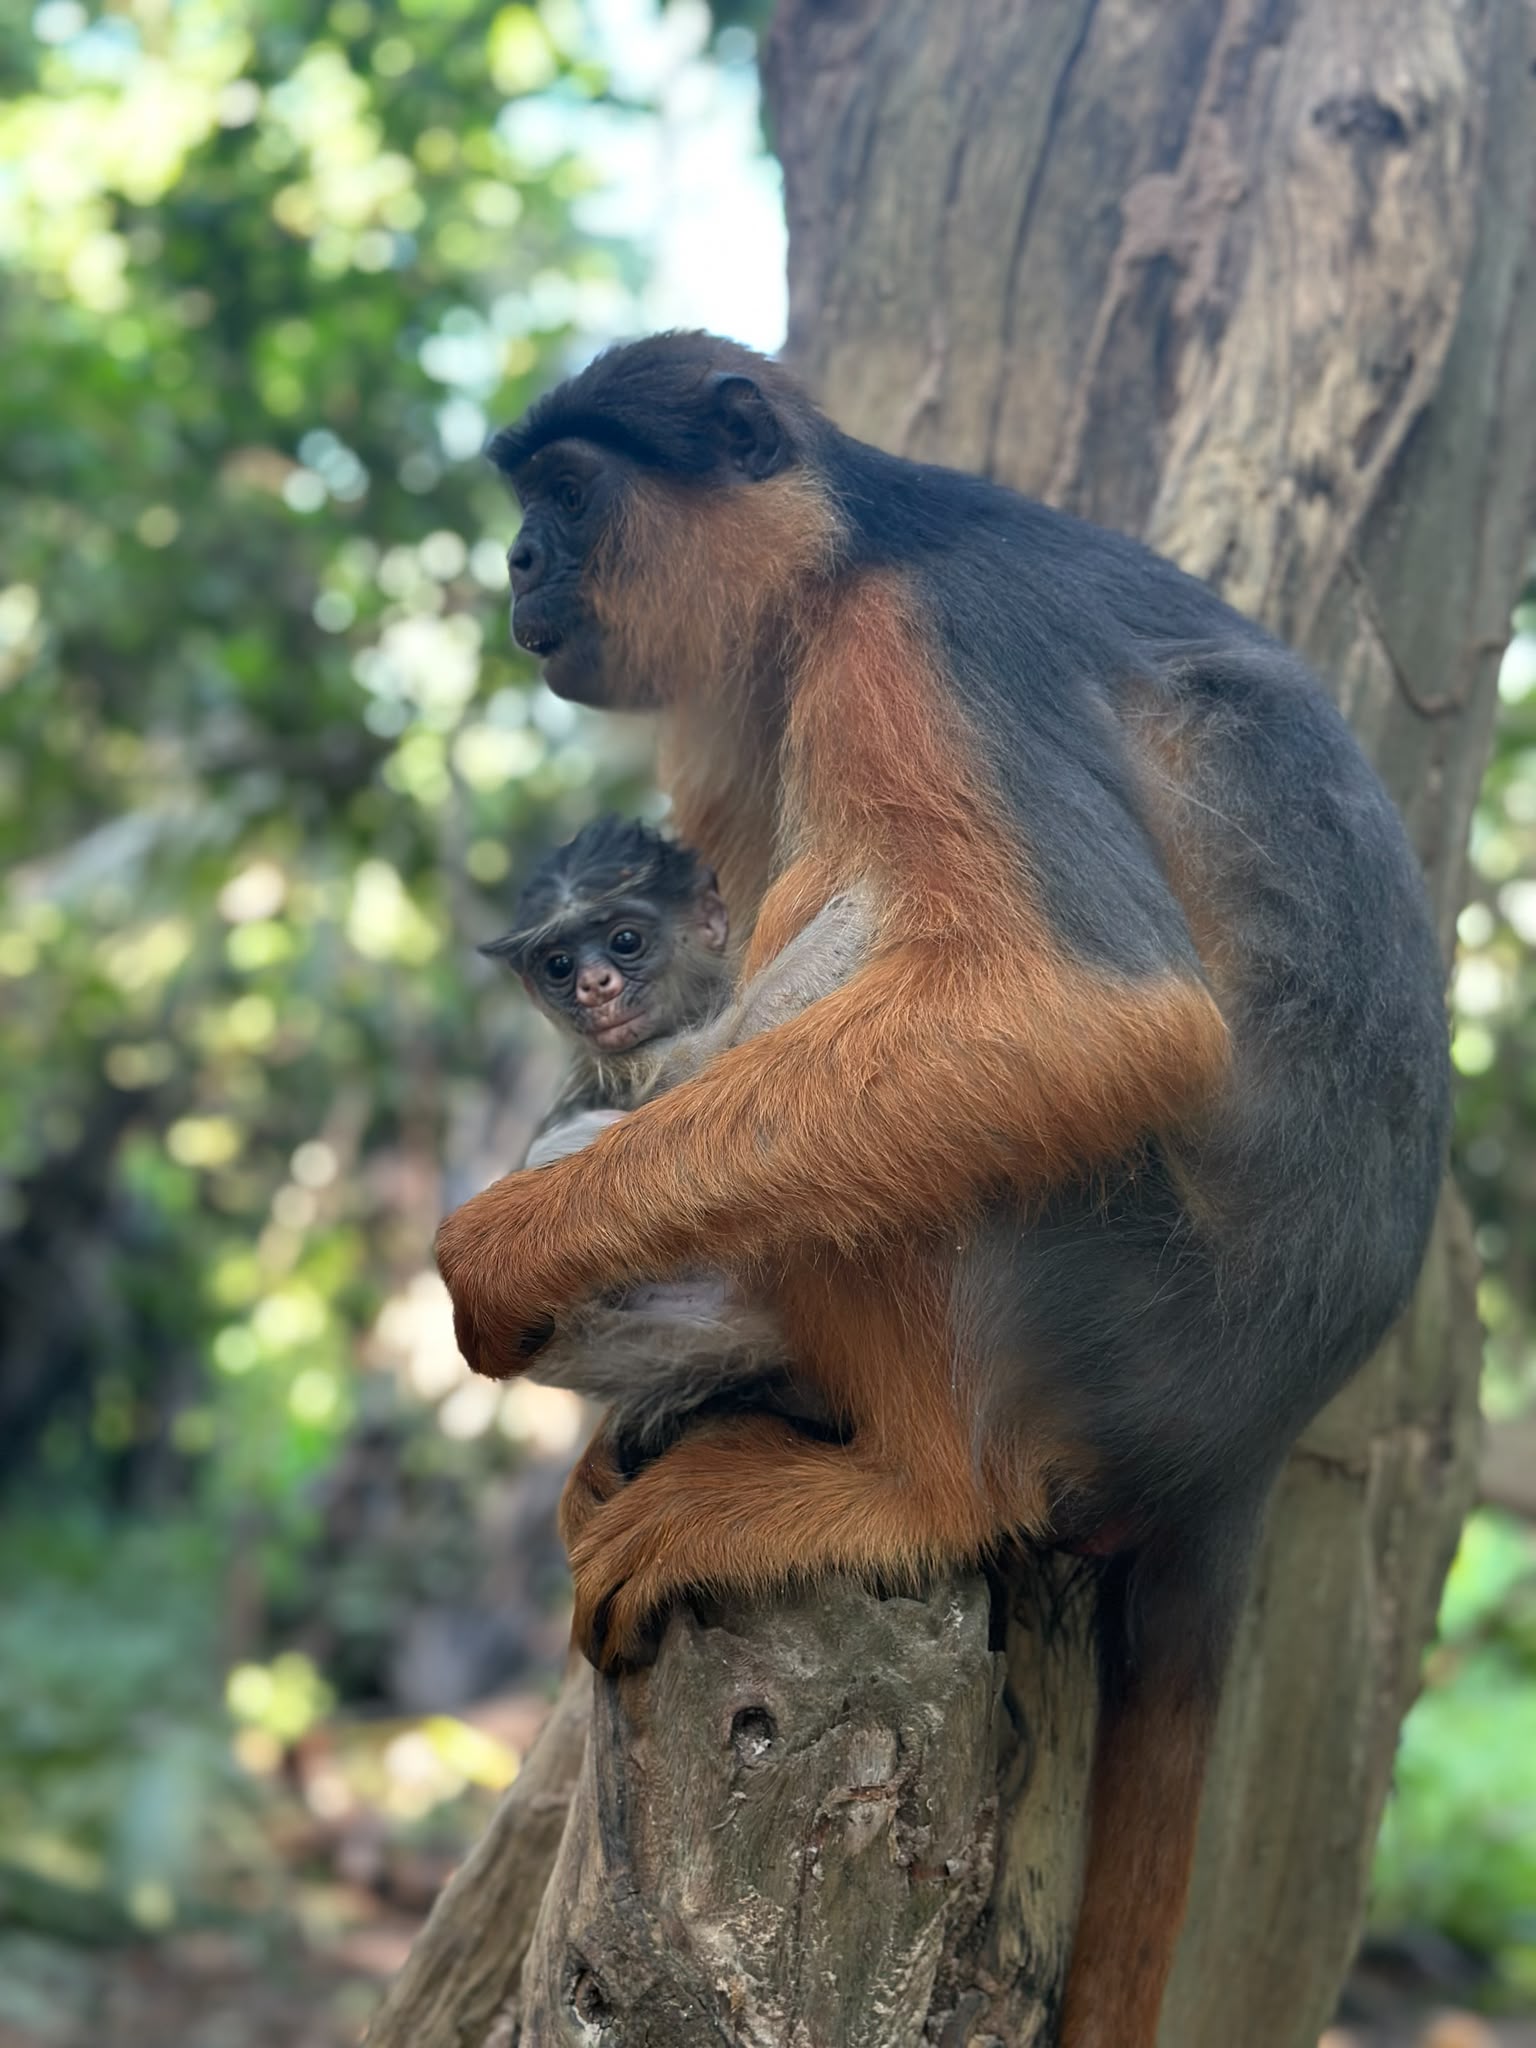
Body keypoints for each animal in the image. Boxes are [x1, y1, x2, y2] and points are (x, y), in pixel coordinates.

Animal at [434, 332, 1450, 2048]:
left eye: (564, 499)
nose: (513, 563)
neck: (849, 552)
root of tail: (1244, 1443)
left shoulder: (912, 645)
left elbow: (1085, 1016)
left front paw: (505, 1253)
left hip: (1101, 1288)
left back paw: (912, 1488)